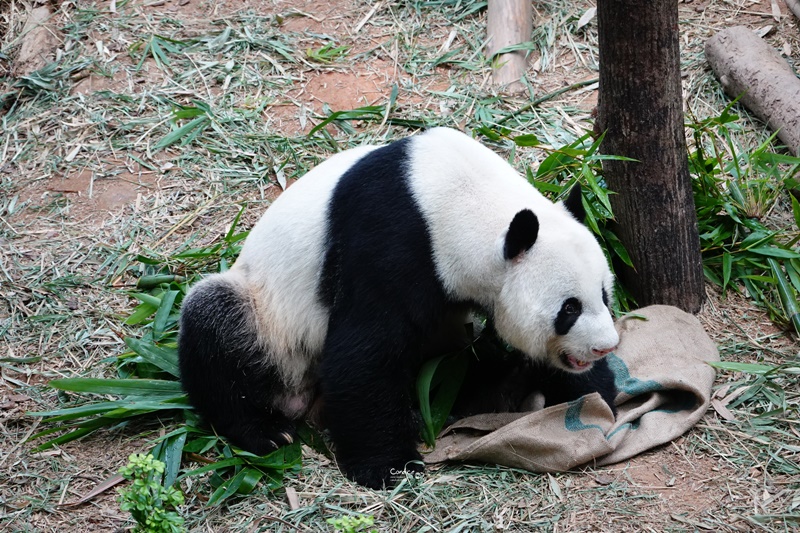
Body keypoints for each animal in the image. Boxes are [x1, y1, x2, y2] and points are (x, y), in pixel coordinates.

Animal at [178, 128, 620, 486]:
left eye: (604, 295)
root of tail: (302, 398)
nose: (605, 347)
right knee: (214, 322)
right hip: (267, 317)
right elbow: (363, 352)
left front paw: (593, 394)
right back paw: (266, 430)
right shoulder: (389, 239)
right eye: (568, 309)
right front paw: (389, 466)